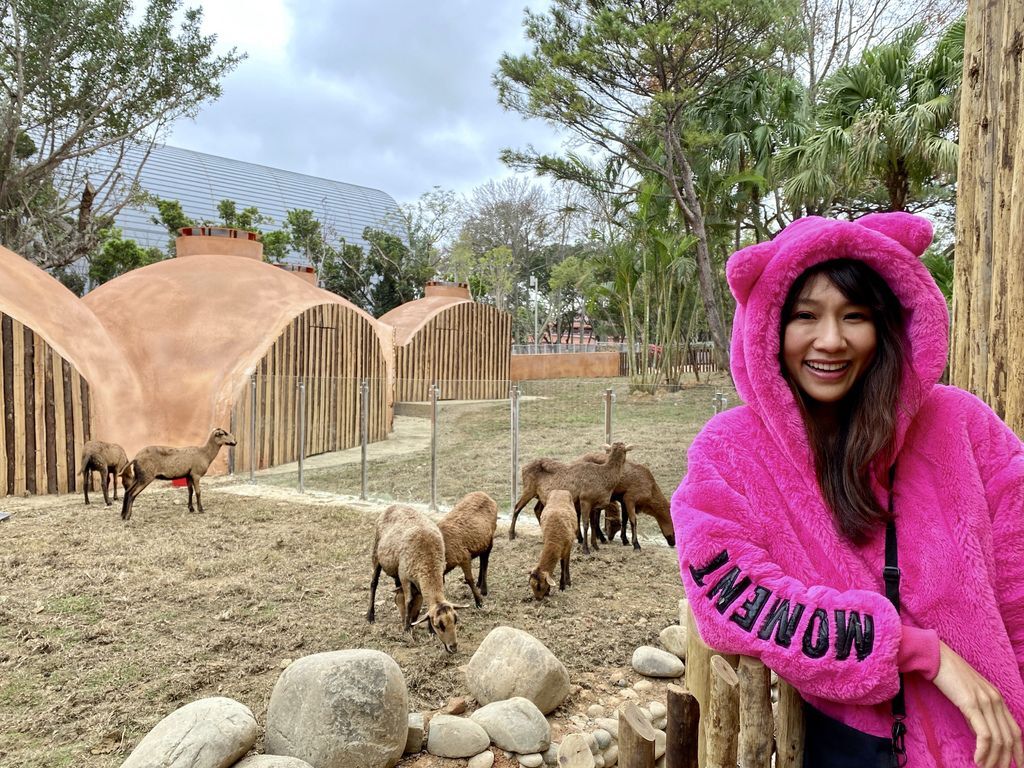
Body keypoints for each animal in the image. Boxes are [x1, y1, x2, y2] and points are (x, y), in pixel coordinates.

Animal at [364, 505, 468, 655]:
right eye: (438, 625)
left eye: (456, 620)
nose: (453, 647)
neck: (429, 561)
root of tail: (392, 506)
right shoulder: (405, 577)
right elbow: (409, 601)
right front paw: (407, 629)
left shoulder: (439, 574)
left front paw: (428, 630)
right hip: (376, 555)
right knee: (374, 584)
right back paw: (370, 616)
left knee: (397, 592)